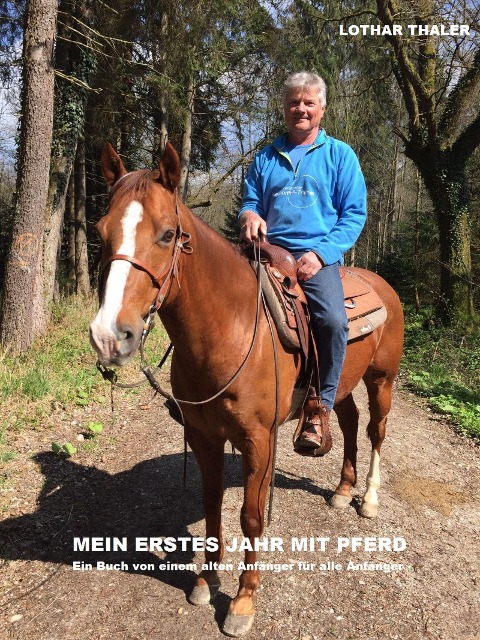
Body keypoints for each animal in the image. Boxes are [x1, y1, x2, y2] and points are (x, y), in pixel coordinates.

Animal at [89, 141, 404, 637]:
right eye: (101, 233)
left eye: (166, 235)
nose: (109, 336)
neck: (230, 329)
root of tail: (383, 286)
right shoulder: (204, 436)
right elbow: (212, 502)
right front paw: (205, 579)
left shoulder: (259, 440)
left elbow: (251, 517)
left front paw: (242, 601)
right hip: (340, 383)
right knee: (350, 422)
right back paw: (341, 489)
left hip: (382, 381)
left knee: (376, 431)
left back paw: (367, 498)